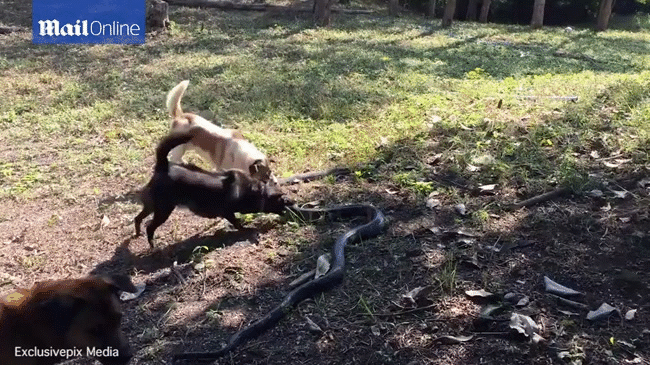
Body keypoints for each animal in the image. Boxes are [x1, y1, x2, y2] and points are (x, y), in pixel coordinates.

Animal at [135, 126, 292, 246]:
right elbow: (237, 223)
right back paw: (153, 246)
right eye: (284, 200)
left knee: (137, 218)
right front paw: (245, 230)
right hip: (163, 209)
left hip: (153, 205)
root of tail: (163, 166)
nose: (293, 202)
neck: (255, 190)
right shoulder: (227, 212)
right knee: (149, 227)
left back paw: (137, 234)